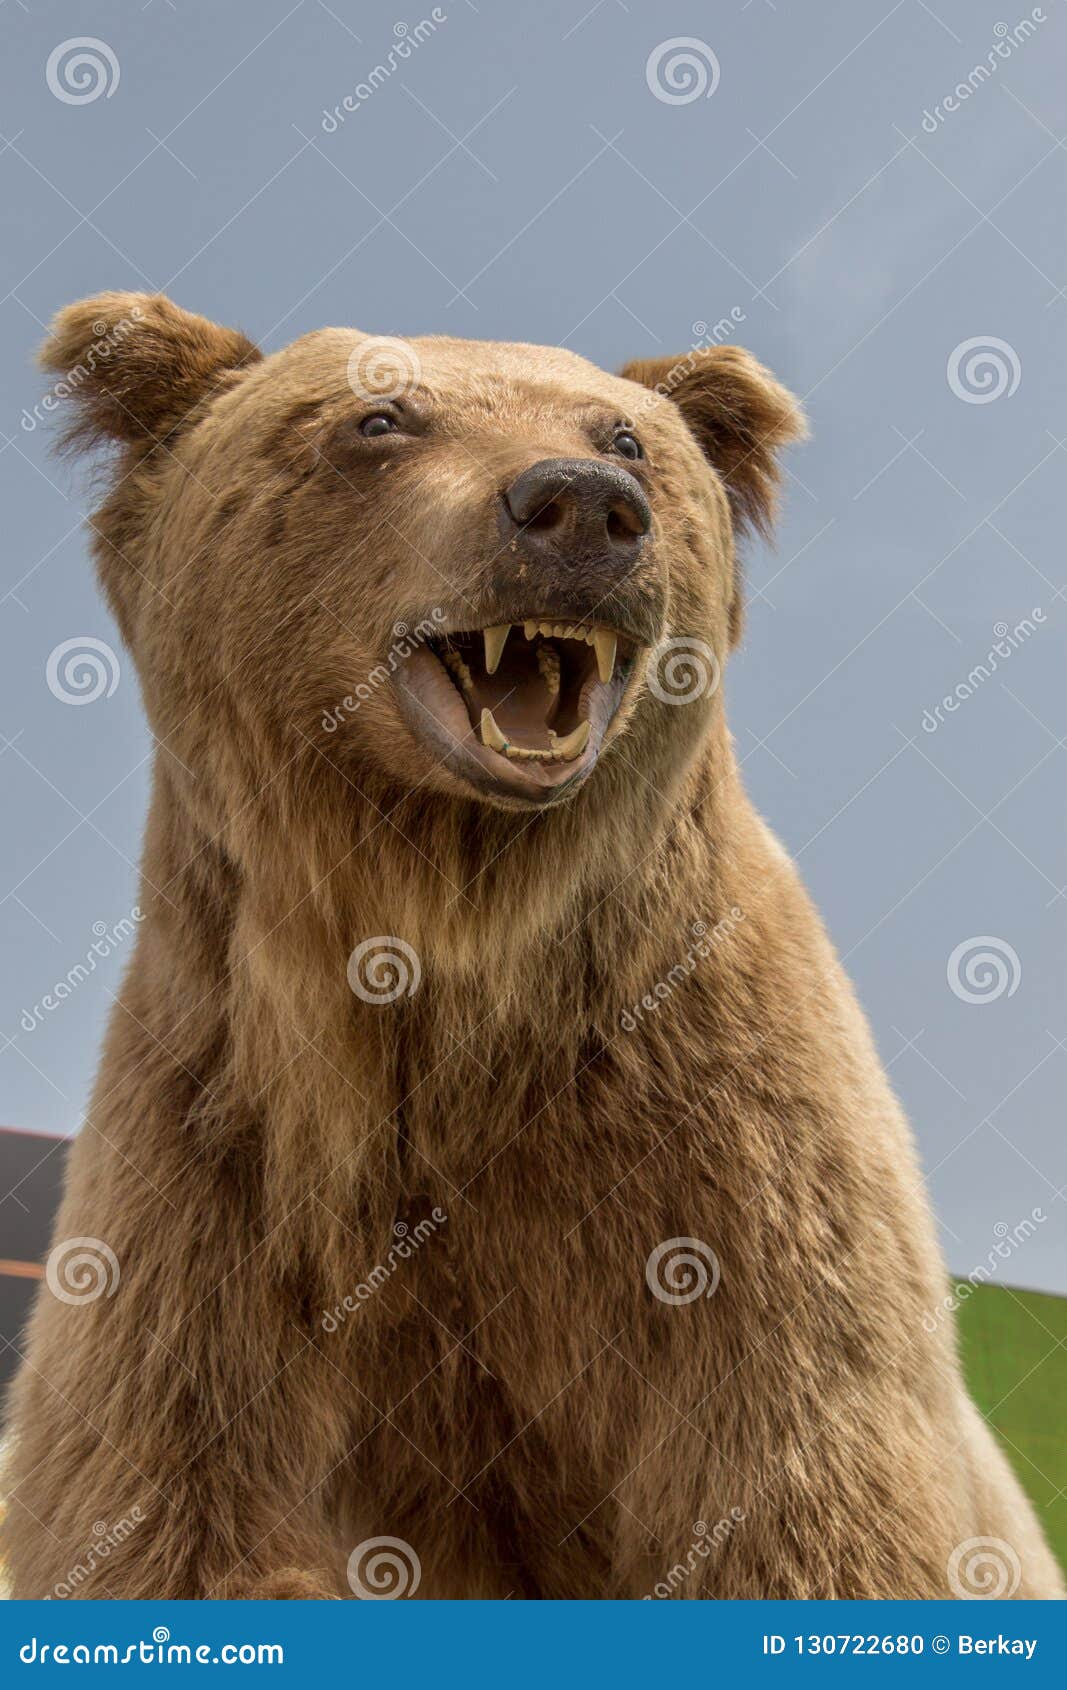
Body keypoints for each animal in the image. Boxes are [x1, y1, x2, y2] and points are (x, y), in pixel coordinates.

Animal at [2, 291, 1061, 1601]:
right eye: (378, 417)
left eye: (626, 438)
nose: (581, 509)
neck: (452, 925)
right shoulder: (214, 1151)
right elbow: (170, 1500)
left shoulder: (724, 1161)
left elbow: (792, 1496)